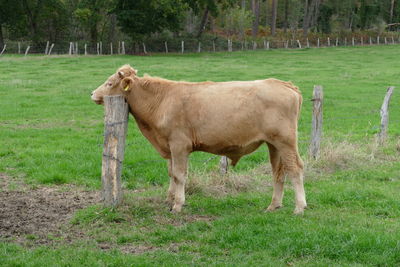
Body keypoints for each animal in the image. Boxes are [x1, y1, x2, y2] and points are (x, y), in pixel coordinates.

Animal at [92, 65, 308, 216]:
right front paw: (170, 200)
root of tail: (283, 84)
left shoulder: (179, 145)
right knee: (278, 172)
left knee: (295, 168)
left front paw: (178, 205)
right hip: (274, 144)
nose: (92, 93)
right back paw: (273, 205)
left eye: (109, 83)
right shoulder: (169, 146)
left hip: (286, 141)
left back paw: (299, 207)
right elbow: (171, 173)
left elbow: (179, 175)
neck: (162, 101)